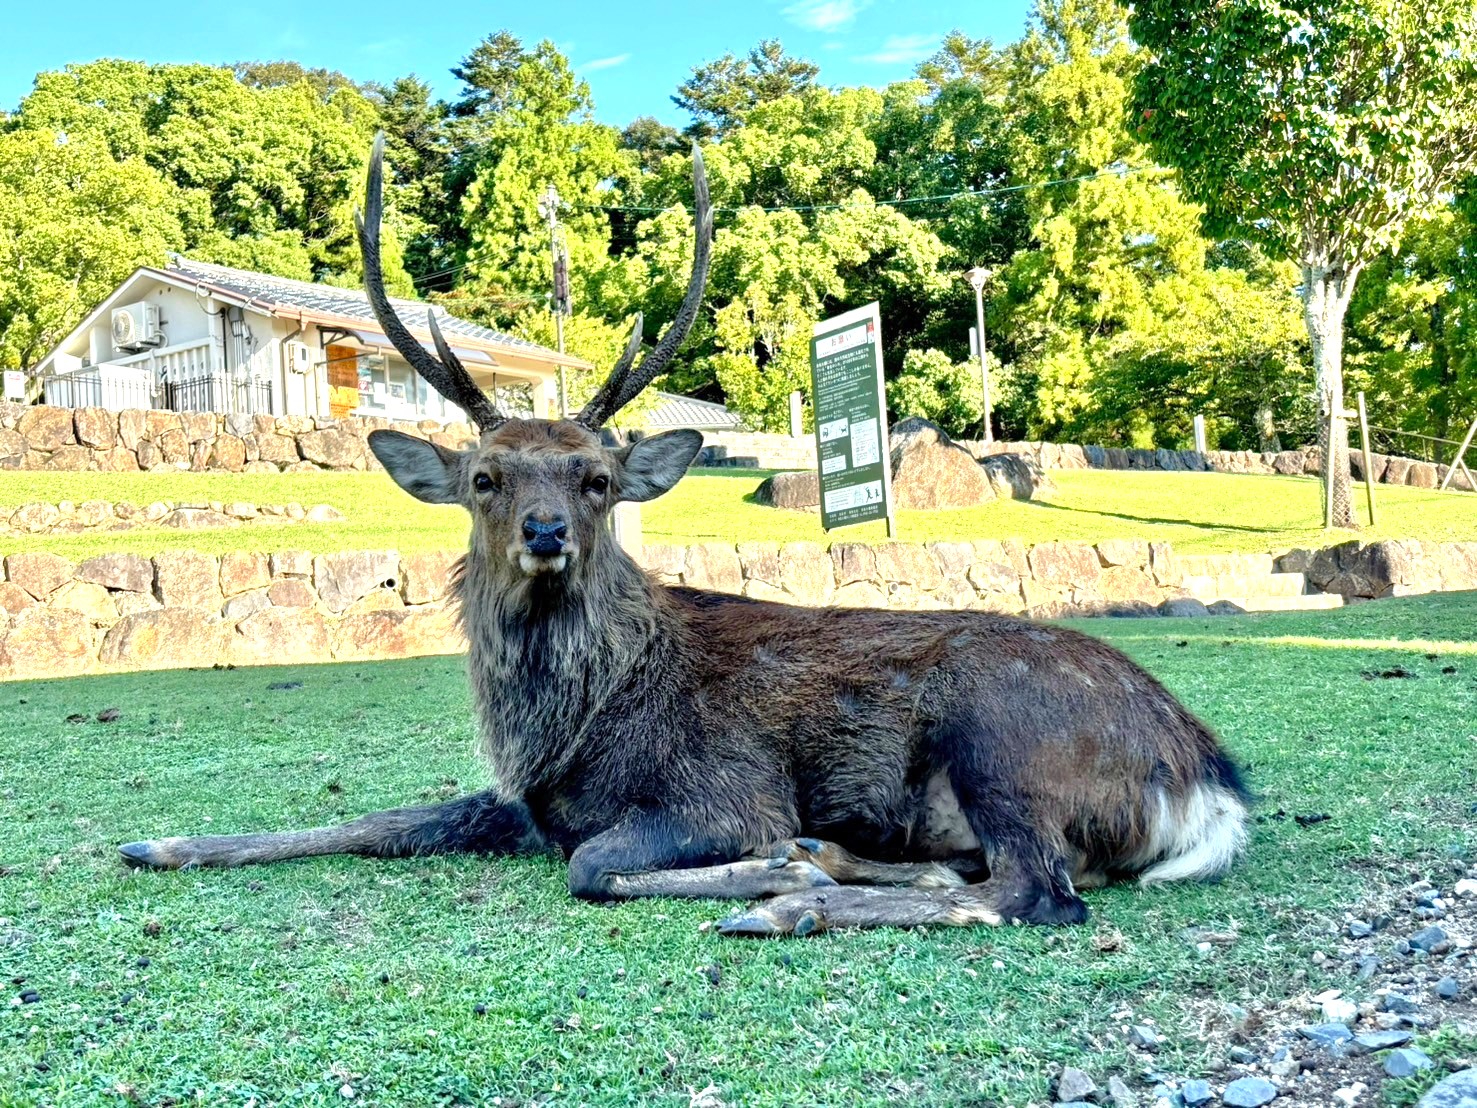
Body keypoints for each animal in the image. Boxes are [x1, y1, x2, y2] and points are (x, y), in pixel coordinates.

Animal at [118, 136, 1246, 939]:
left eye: (598, 480)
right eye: (484, 478)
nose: (545, 532)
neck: (565, 729)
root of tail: (1208, 780)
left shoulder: (726, 790)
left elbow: (595, 864)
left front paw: (769, 867)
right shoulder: (524, 803)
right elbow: (378, 821)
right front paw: (161, 844)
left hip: (1003, 739)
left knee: (1032, 892)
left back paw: (791, 898)